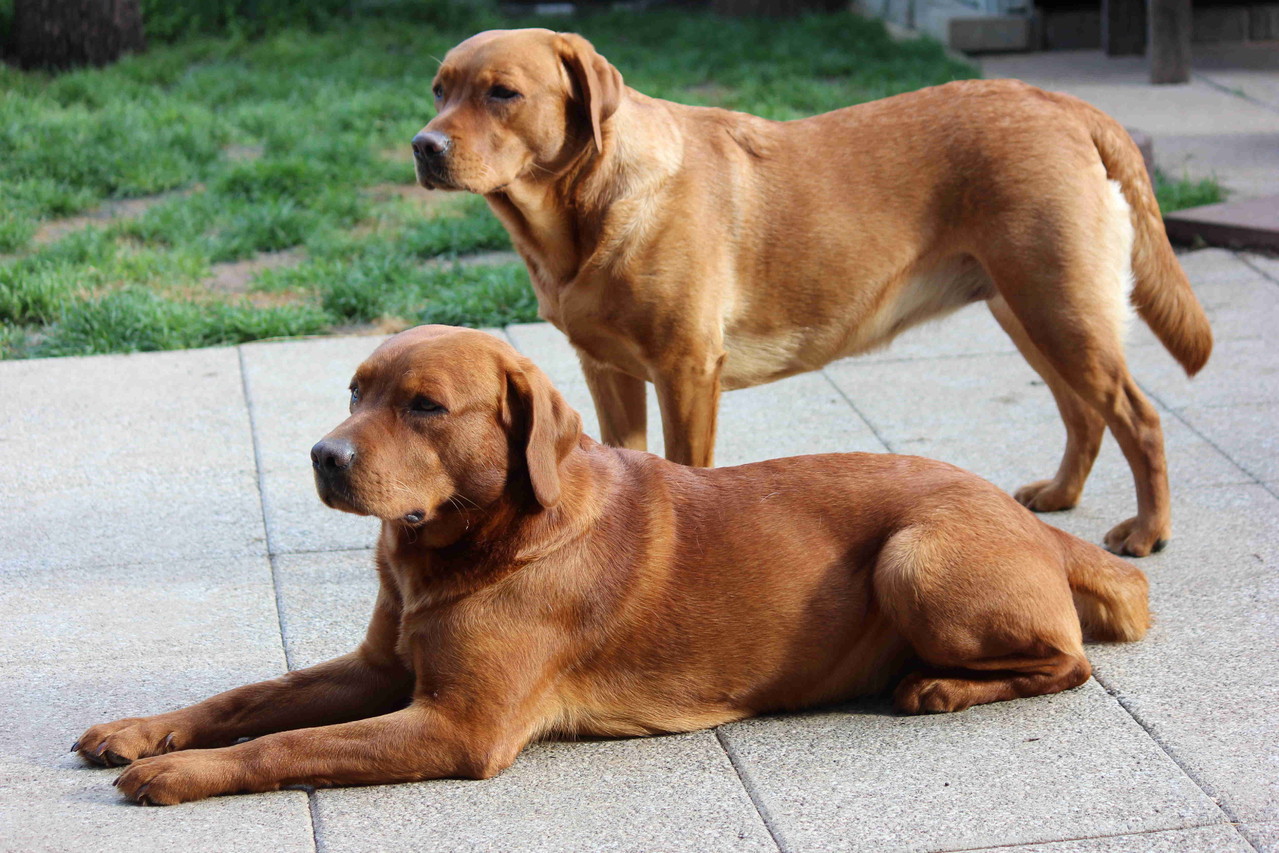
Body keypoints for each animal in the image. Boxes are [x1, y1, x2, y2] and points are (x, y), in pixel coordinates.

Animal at [74, 323, 1151, 803]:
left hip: (914, 558)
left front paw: (179, 773)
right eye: (353, 387)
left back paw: (938, 685)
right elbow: (250, 696)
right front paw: (141, 729)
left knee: (1069, 660)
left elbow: (286, 743)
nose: (322, 456)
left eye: (424, 405)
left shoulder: (456, 725)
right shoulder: (380, 668)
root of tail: (1026, 515)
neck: (459, 548)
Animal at [414, 30, 1212, 557]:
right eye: (439, 89)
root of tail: (1063, 102)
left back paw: (1149, 531)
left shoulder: (685, 369)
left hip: (1059, 306)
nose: (423, 145)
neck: (579, 216)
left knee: (1139, 418)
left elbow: (685, 468)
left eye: (503, 94)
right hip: (1026, 310)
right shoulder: (607, 370)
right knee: (1084, 413)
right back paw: (1061, 494)